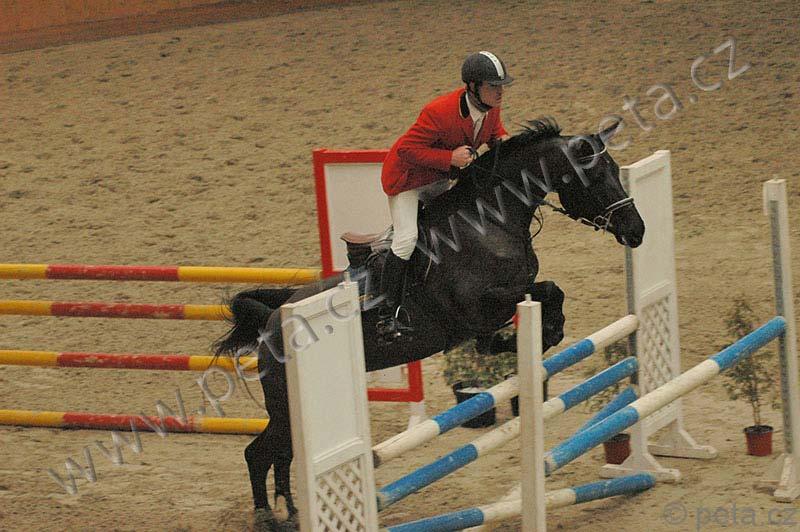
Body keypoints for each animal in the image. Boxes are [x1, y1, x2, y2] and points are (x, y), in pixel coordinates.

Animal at [213, 117, 645, 530]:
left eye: (615, 169)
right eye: (595, 176)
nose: (637, 231)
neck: (490, 222)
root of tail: (274, 316)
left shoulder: (506, 297)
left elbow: (549, 295)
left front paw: (541, 336)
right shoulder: (479, 306)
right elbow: (539, 299)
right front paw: (529, 338)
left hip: (287, 412)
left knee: (278, 456)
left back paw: (288, 513)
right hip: (287, 406)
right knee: (259, 453)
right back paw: (267, 516)